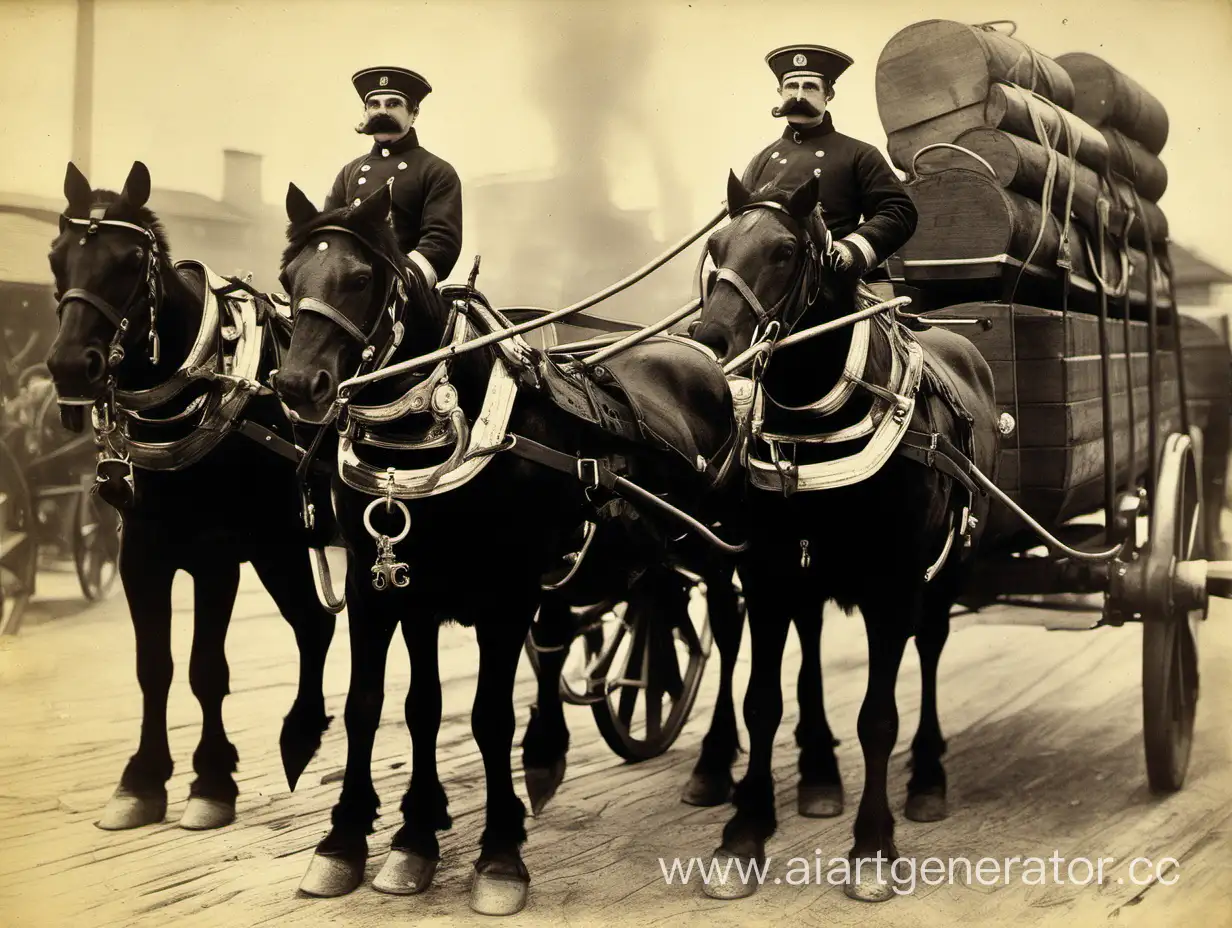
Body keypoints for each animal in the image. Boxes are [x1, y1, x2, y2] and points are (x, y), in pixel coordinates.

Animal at [46, 165, 337, 833]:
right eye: (55, 257)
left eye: (129, 261)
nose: (71, 366)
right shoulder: (139, 555)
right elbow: (153, 667)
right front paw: (141, 781)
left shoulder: (215, 557)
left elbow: (207, 667)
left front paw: (210, 782)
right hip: (281, 545)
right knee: (312, 624)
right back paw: (302, 737)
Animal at [272, 181, 739, 911]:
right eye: (289, 277)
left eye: (361, 277)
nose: (297, 386)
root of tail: (699, 355)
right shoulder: (390, 588)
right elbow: (390, 707)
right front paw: (370, 841)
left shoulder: (504, 593)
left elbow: (488, 716)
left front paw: (497, 859)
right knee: (608, 621)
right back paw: (551, 756)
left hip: (710, 548)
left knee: (726, 616)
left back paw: (716, 765)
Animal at [694, 172, 1000, 897]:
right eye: (716, 246)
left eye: (783, 252)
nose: (711, 338)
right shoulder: (770, 575)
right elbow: (761, 701)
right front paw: (744, 834)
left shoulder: (892, 585)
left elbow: (878, 716)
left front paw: (872, 847)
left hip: (945, 573)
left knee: (931, 651)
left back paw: (928, 776)